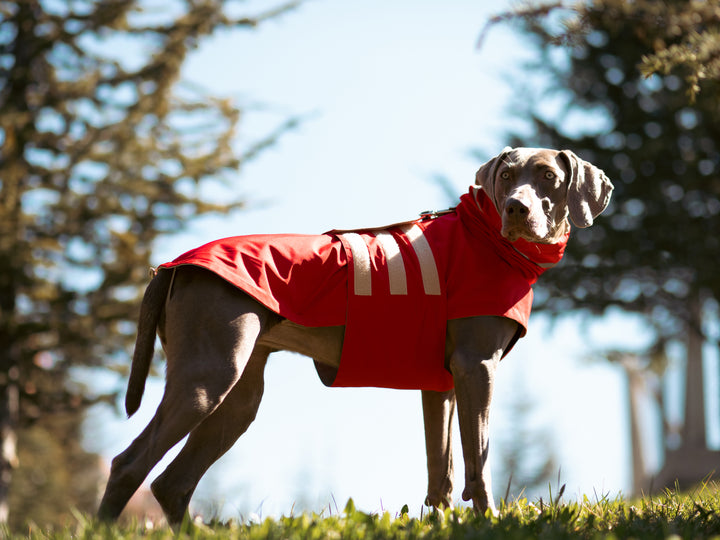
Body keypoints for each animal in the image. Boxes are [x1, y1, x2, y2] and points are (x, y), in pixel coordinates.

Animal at [97, 148, 612, 524]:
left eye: (546, 175)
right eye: (506, 176)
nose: (515, 208)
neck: (486, 238)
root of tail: (172, 265)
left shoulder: (441, 384)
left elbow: (441, 472)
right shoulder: (476, 367)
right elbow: (477, 460)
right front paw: (489, 522)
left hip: (238, 398)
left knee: (173, 483)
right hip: (208, 377)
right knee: (129, 465)